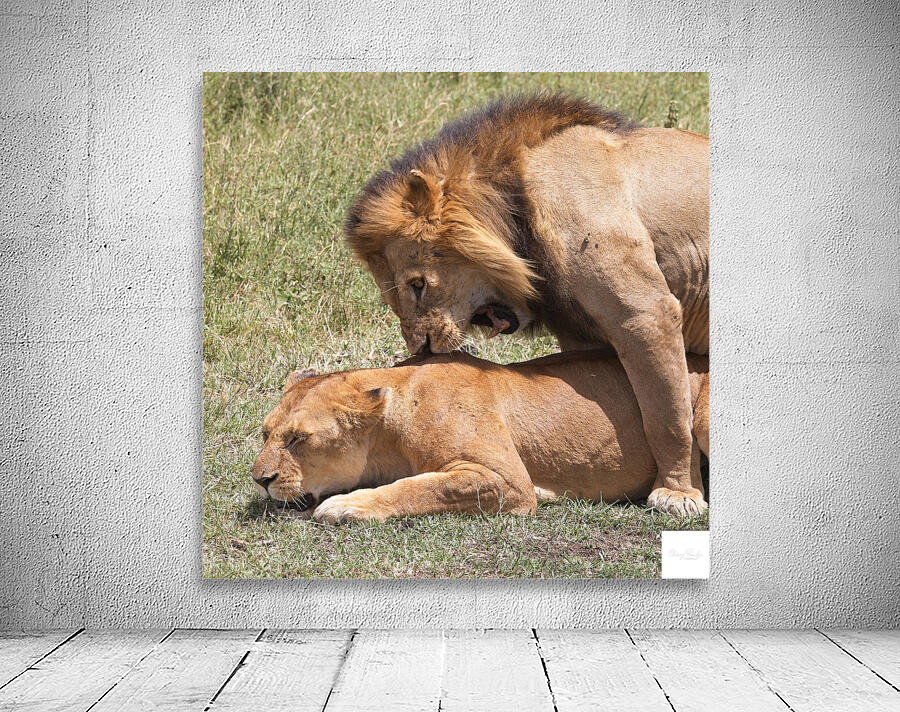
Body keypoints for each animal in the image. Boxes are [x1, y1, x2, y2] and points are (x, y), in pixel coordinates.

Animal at [251, 352, 709, 524]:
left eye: (298, 439)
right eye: (266, 433)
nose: (260, 480)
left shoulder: (507, 480)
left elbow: (420, 488)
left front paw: (347, 505)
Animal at [344, 94, 709, 516]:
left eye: (417, 286)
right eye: (393, 299)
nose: (422, 349)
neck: (518, 204)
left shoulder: (646, 313)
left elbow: (668, 415)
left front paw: (678, 493)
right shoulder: (584, 337)